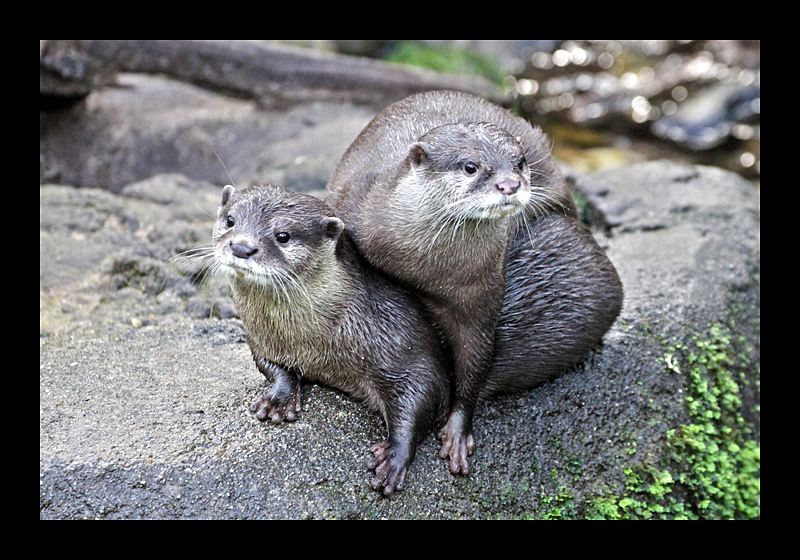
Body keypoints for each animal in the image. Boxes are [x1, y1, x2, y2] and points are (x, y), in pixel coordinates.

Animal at [211, 185, 450, 494]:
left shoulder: (403, 339)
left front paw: (395, 456)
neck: (314, 342)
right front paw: (279, 399)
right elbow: (272, 366)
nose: (241, 247)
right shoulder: (260, 339)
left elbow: (421, 389)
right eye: (230, 220)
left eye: (283, 236)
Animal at [326, 89, 624, 474]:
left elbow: (475, 359)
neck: (427, 269)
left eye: (520, 162)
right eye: (470, 166)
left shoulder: (482, 292)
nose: (509, 185)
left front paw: (457, 430)